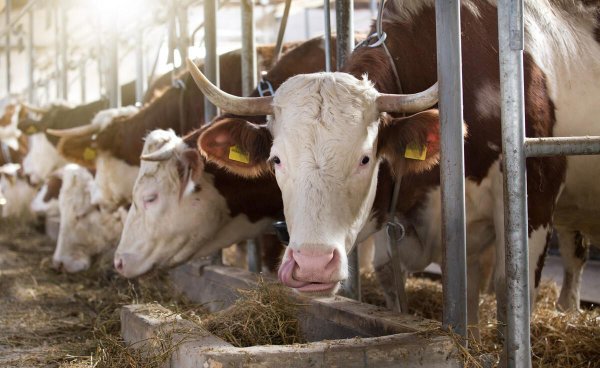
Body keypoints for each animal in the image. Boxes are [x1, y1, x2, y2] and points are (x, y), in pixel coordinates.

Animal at [188, 0, 600, 334]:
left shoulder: (536, 194)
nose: (312, 266)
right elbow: (407, 281)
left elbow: (509, 289)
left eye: (365, 158)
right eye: (276, 159)